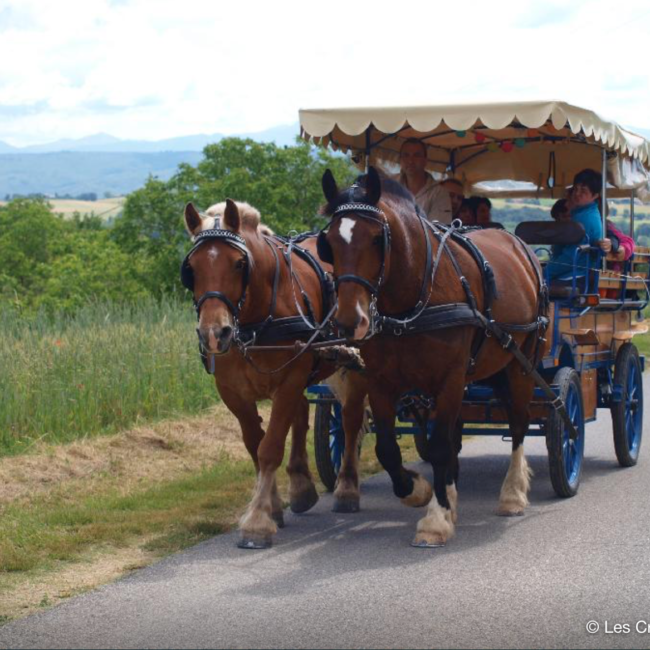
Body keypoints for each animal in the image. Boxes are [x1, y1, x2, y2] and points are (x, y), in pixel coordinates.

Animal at [180, 200, 368, 544]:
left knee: (349, 420)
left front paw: (257, 521)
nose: (214, 334)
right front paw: (274, 507)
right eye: (191, 269)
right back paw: (301, 486)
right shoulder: (232, 392)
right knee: (303, 413)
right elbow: (255, 446)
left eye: (239, 263)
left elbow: (269, 448)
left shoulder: (289, 379)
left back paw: (347, 488)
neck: (255, 321)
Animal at [318, 168, 548, 548]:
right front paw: (420, 491)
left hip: (520, 364)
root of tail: (520, 247)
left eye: (377, 239)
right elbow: (388, 448)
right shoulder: (381, 383)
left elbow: (439, 446)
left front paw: (436, 520)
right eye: (329, 243)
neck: (410, 302)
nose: (350, 321)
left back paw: (512, 494)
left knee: (518, 423)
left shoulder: (449, 379)